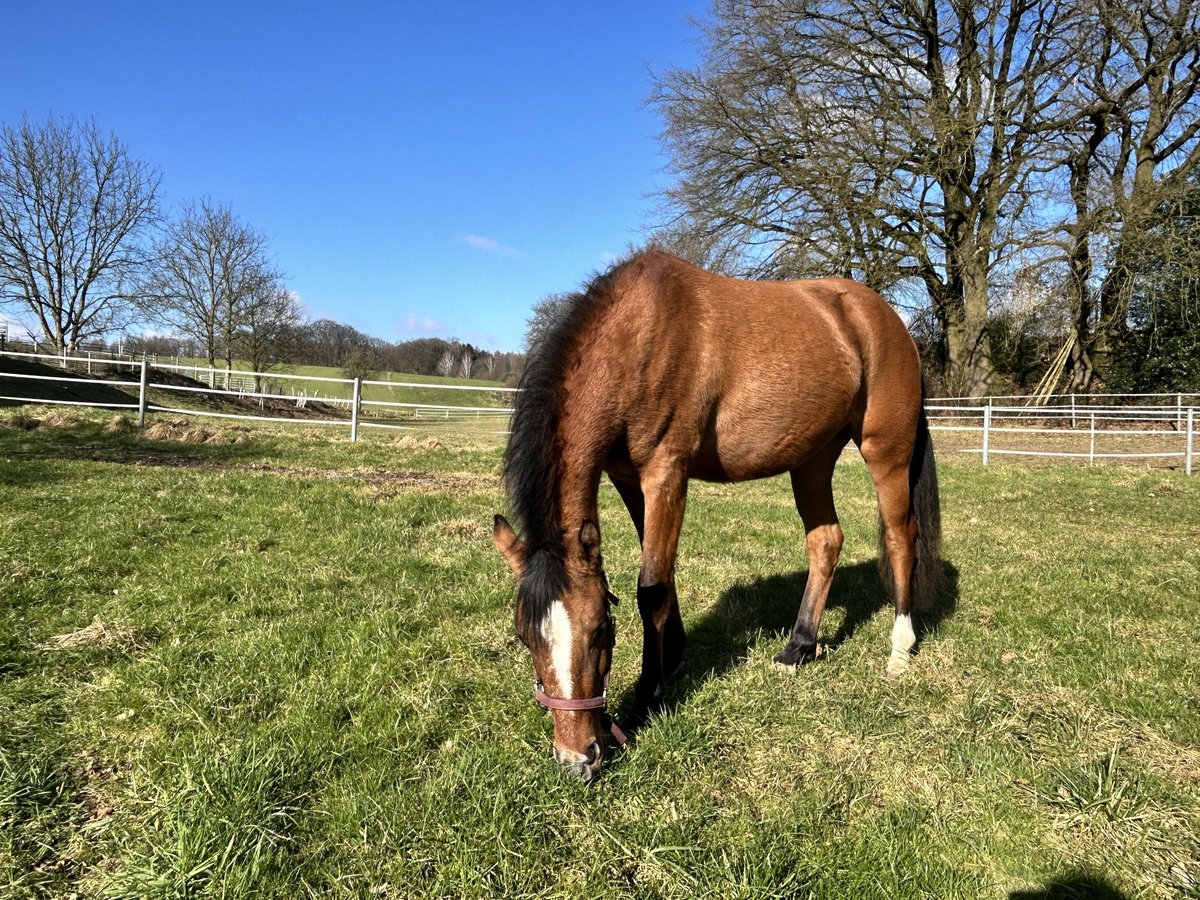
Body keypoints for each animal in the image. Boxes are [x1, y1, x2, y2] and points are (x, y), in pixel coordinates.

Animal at [492, 248, 940, 782]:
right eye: (523, 636)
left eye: (600, 629)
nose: (577, 758)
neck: (637, 335)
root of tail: (887, 319)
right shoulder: (627, 478)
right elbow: (661, 578)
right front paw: (673, 658)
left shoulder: (666, 472)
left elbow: (651, 588)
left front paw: (649, 695)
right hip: (812, 460)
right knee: (826, 541)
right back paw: (798, 646)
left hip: (885, 453)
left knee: (900, 536)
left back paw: (899, 649)